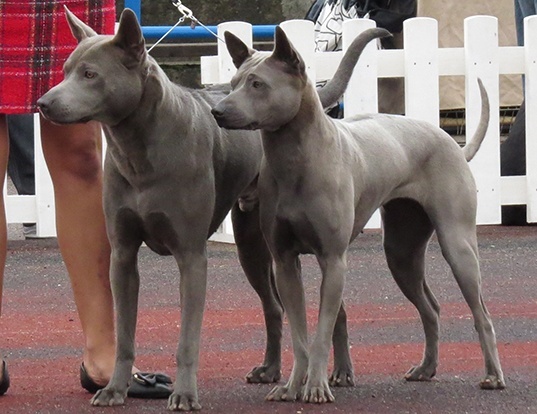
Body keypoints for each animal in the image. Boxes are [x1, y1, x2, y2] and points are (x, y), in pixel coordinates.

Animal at [211, 26, 504, 404]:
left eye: (258, 84)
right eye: (233, 83)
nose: (217, 111)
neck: (295, 158)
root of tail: (454, 143)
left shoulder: (333, 260)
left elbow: (321, 333)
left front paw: (316, 387)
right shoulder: (285, 262)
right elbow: (300, 333)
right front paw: (292, 386)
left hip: (458, 246)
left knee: (481, 313)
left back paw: (493, 375)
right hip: (401, 252)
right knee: (431, 308)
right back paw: (426, 368)